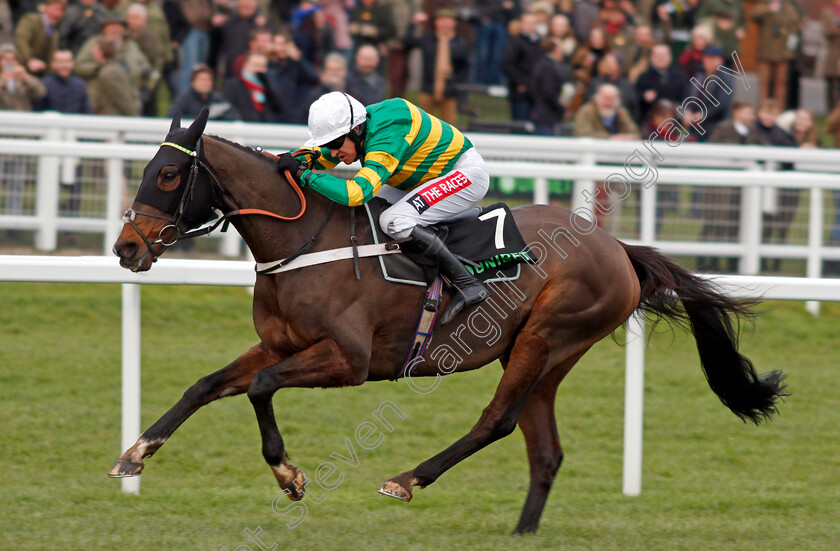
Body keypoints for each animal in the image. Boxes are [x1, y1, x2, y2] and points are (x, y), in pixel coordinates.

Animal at [108, 111, 784, 536]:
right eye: (144, 170)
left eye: (168, 175)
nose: (126, 249)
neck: (302, 241)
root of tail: (616, 247)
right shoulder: (279, 343)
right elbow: (206, 385)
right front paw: (135, 454)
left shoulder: (348, 360)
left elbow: (259, 387)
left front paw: (290, 476)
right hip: (546, 356)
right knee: (545, 448)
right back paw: (521, 531)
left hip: (547, 336)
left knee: (498, 421)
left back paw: (408, 479)